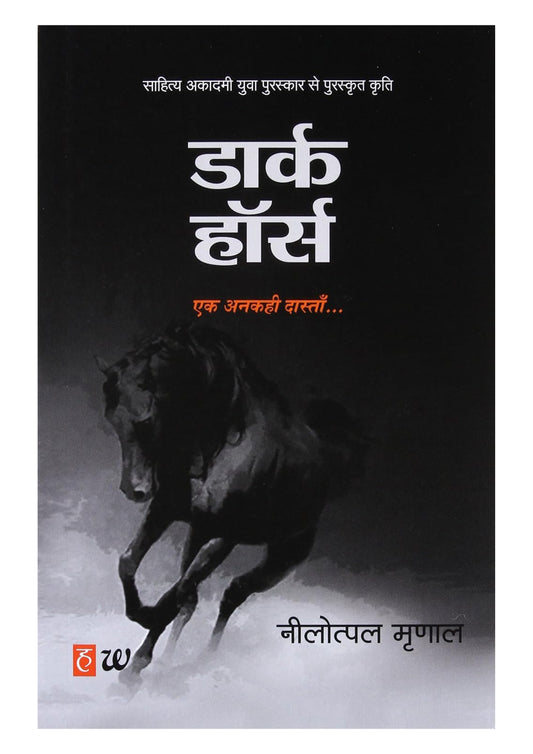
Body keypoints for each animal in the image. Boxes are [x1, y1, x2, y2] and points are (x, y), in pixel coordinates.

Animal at [95, 323, 365, 678]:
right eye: (112, 418)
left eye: (147, 419)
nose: (134, 489)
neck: (216, 446)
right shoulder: (165, 509)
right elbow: (129, 564)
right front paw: (140, 620)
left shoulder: (224, 536)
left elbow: (176, 593)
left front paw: (142, 639)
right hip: (198, 536)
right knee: (196, 600)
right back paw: (166, 661)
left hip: (280, 560)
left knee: (232, 593)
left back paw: (204, 659)